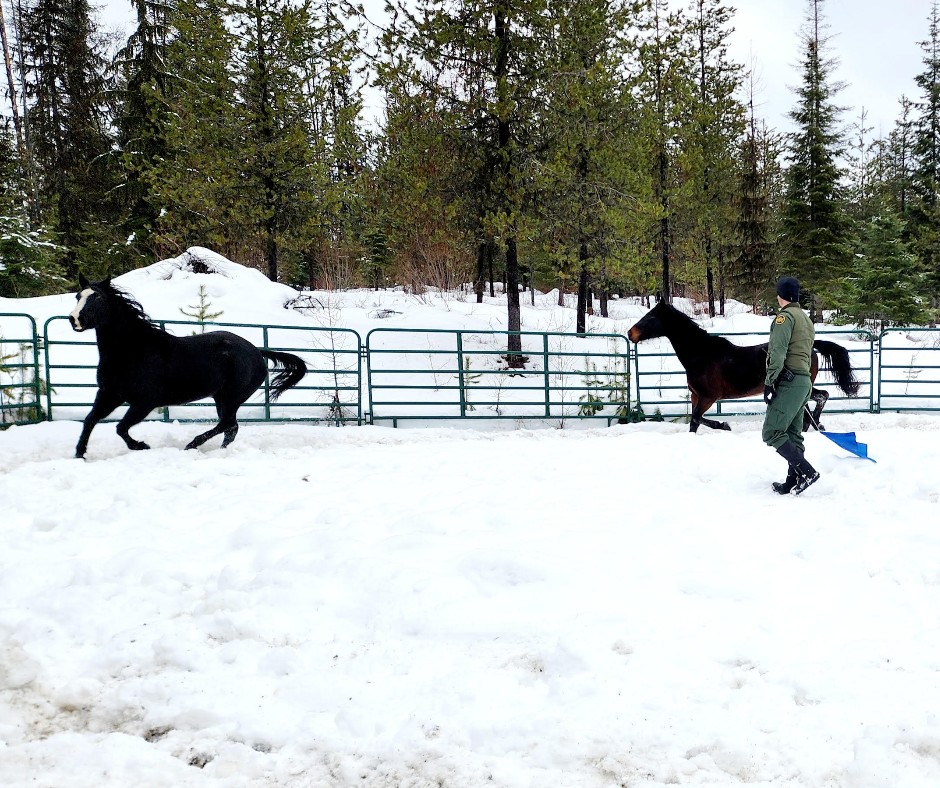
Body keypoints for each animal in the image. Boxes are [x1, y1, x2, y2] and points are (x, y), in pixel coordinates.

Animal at [69, 274, 307, 458]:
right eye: (78, 296)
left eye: (98, 298)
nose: (74, 319)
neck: (132, 351)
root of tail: (257, 351)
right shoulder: (109, 394)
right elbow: (90, 420)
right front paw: (80, 454)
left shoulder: (145, 401)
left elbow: (120, 427)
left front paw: (141, 446)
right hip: (221, 397)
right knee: (231, 427)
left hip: (232, 396)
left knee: (226, 424)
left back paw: (192, 444)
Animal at [627, 301, 859, 433]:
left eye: (651, 317)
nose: (630, 333)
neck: (701, 354)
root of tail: (811, 346)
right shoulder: (696, 396)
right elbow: (694, 421)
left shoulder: (709, 397)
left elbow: (696, 418)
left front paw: (724, 425)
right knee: (817, 400)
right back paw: (812, 425)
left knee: (821, 397)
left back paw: (815, 424)